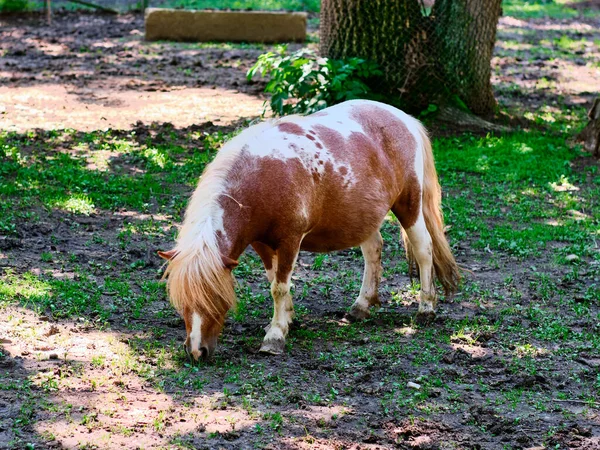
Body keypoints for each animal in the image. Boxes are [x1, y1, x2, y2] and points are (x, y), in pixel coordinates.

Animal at [158, 99, 460, 362]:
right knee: (373, 251)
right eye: (181, 301)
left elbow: (279, 286)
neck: (263, 178)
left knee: (424, 250)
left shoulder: (290, 240)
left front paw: (275, 337)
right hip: (362, 218)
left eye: (217, 299)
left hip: (409, 206)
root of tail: (405, 119)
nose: (196, 351)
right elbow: (273, 280)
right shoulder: (262, 244)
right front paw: (288, 319)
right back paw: (360, 307)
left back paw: (425, 309)